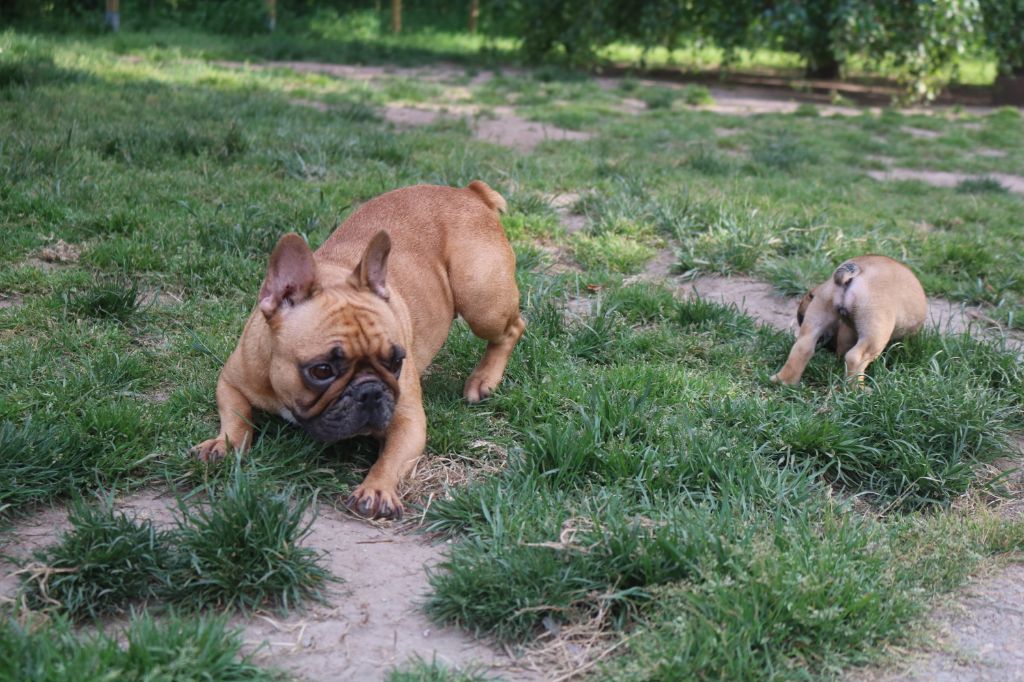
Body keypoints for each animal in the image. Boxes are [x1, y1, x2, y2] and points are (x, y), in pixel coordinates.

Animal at [192, 180, 524, 516]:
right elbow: (236, 417)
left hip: (481, 302)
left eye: (396, 362)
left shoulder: (407, 420)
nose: (371, 392)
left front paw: (376, 489)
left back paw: (483, 380)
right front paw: (223, 444)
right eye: (322, 370)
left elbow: (390, 460)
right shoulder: (232, 381)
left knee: (513, 328)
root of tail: (468, 192)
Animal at [770, 253, 929, 385]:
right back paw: (857, 390)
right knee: (855, 357)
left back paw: (784, 381)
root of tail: (855, 271)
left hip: (819, 313)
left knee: (802, 347)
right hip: (876, 332)